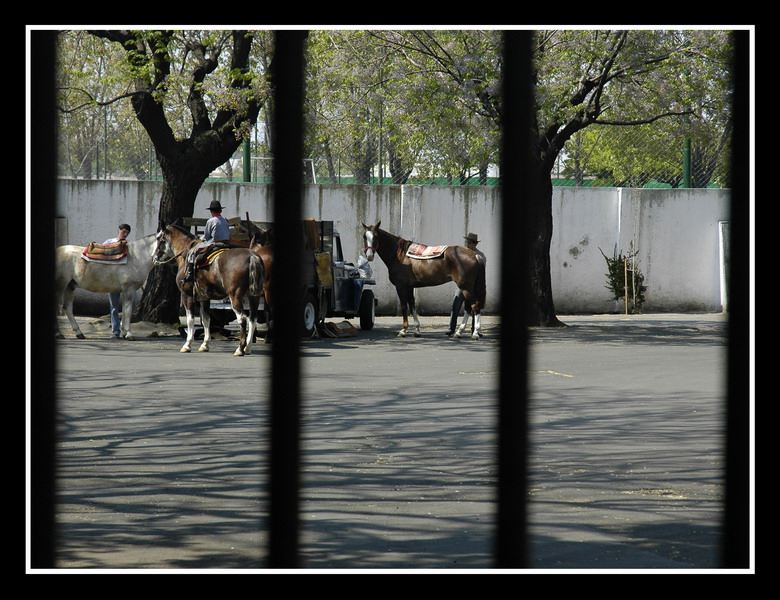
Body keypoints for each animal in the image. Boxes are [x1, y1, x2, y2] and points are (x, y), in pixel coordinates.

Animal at [152, 224, 266, 356]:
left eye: (160, 239)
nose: (154, 257)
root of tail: (252, 257)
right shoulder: (204, 297)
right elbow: (206, 319)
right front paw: (205, 344)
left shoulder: (186, 295)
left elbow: (190, 320)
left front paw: (187, 345)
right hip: (254, 297)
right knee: (252, 319)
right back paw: (247, 348)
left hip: (235, 296)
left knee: (242, 318)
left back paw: (240, 349)